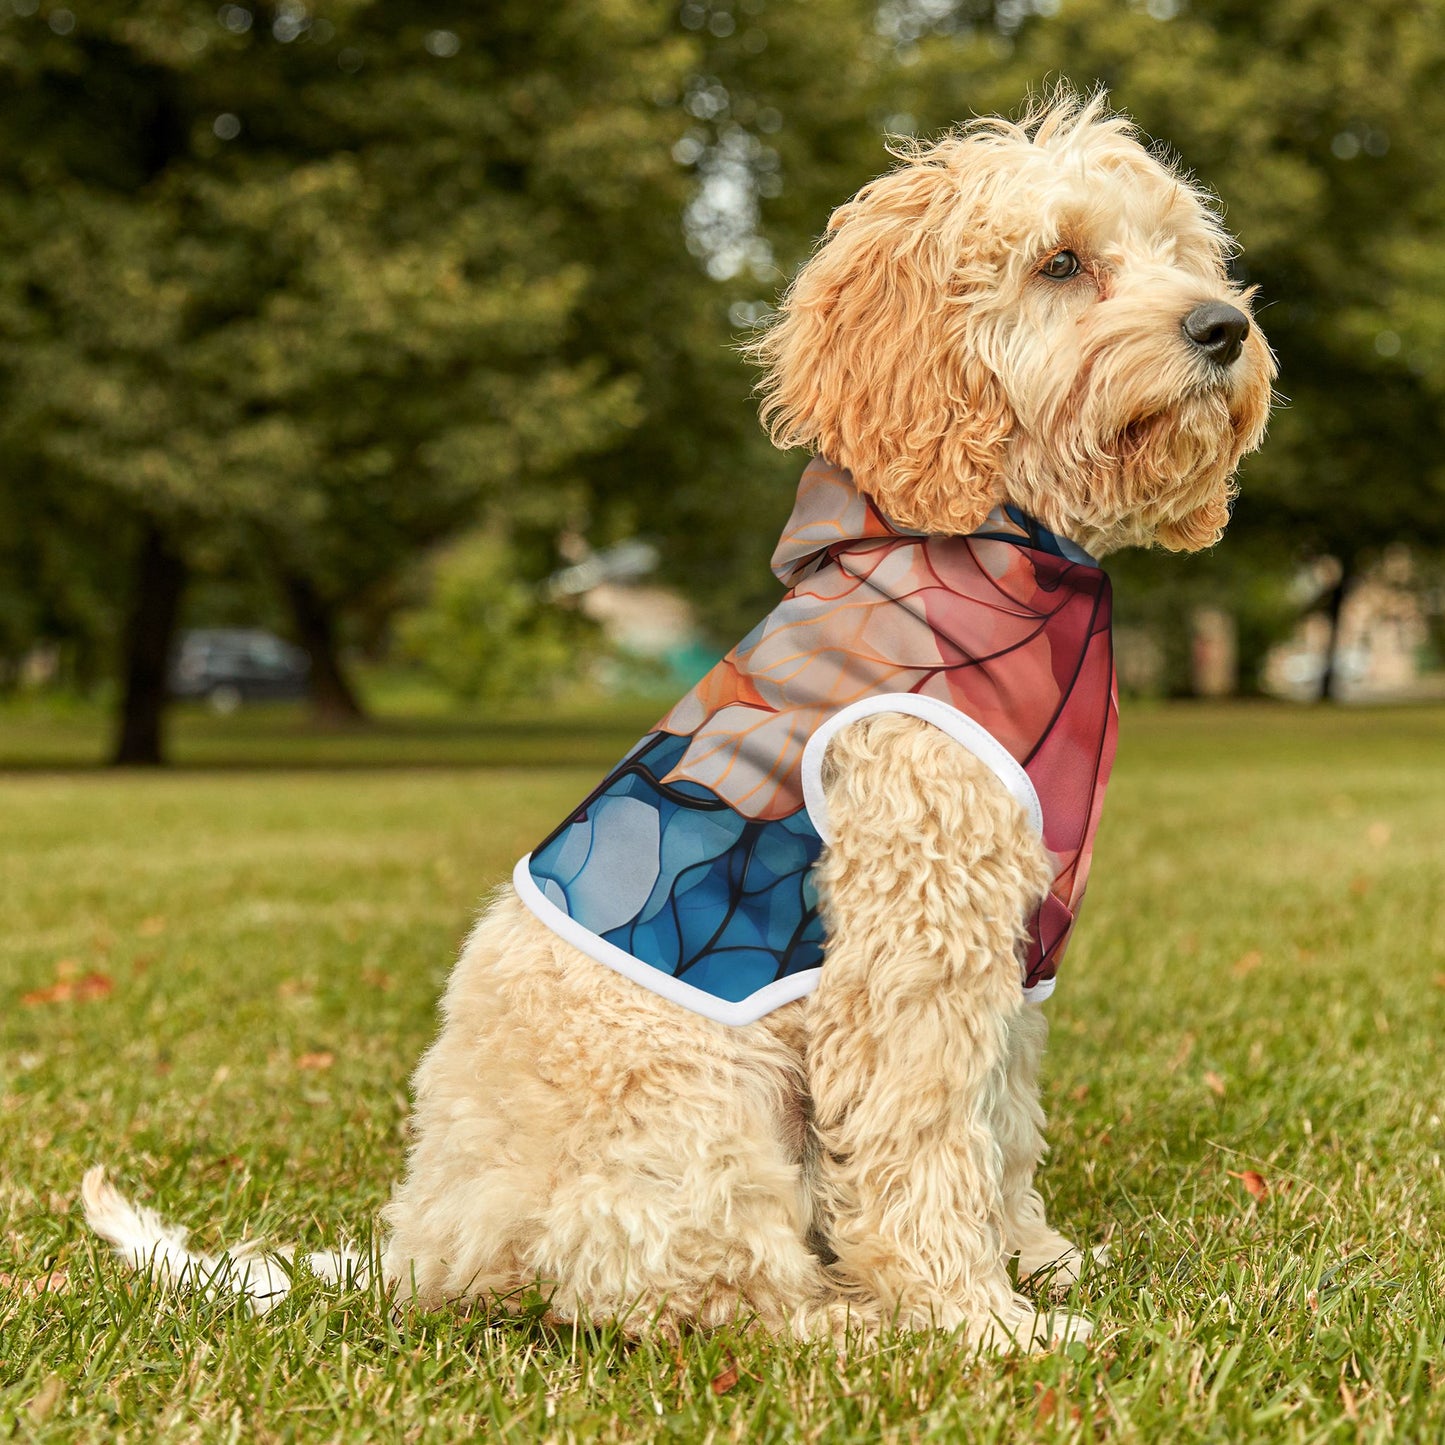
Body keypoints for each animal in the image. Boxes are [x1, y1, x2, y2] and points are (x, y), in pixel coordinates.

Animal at [84, 93, 1271, 1352]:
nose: (1222, 327)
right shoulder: (912, 936)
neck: (988, 553)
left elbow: (999, 1122)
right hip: (703, 1104)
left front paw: (1035, 1260)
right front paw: (976, 1319)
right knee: (702, 1292)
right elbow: (924, 1138)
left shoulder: (1010, 945)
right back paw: (851, 1322)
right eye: (1060, 262)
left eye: (1180, 252)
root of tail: (423, 1248)